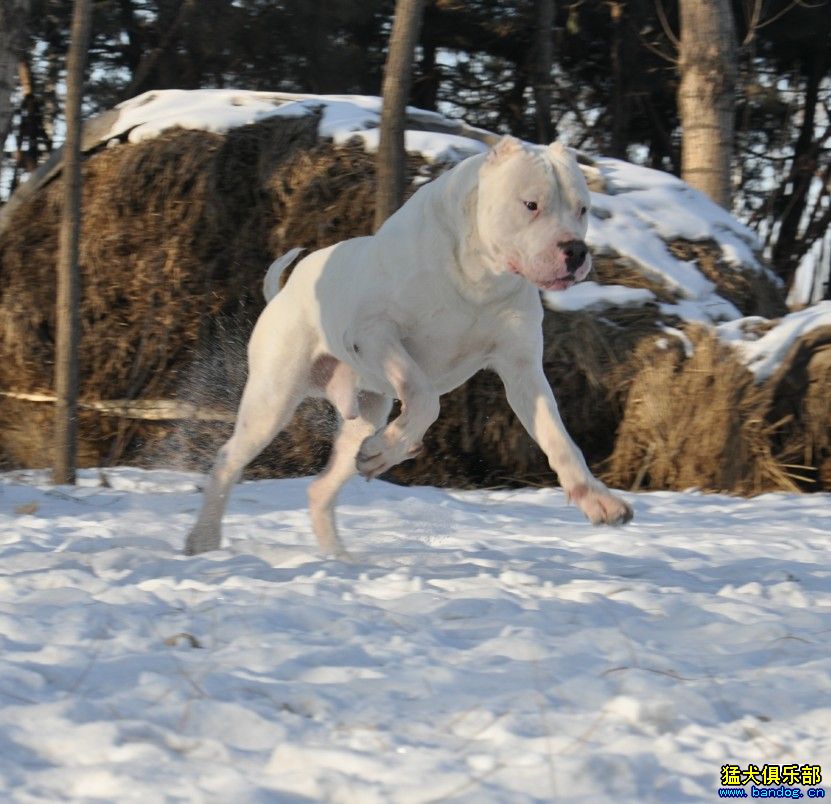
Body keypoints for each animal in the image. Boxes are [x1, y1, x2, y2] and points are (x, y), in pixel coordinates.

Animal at [185, 135, 632, 556]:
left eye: (582, 209)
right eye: (531, 204)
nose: (576, 250)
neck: (479, 279)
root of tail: (286, 289)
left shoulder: (523, 371)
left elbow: (560, 440)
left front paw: (596, 498)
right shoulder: (376, 334)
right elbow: (424, 395)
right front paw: (394, 447)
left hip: (366, 412)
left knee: (322, 488)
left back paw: (342, 557)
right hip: (272, 399)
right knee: (228, 460)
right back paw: (203, 540)